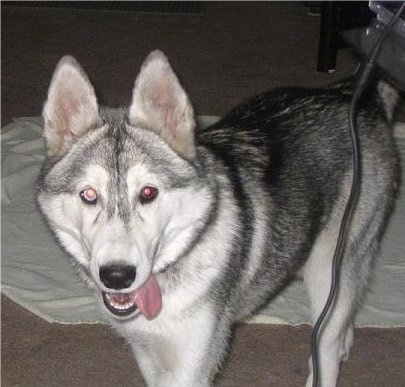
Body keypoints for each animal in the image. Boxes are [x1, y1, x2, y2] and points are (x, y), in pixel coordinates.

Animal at [38, 50, 398, 386]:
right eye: (88, 195)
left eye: (148, 192)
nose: (117, 275)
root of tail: (351, 91)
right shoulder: (148, 356)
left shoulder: (191, 367)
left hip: (328, 272)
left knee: (326, 347)